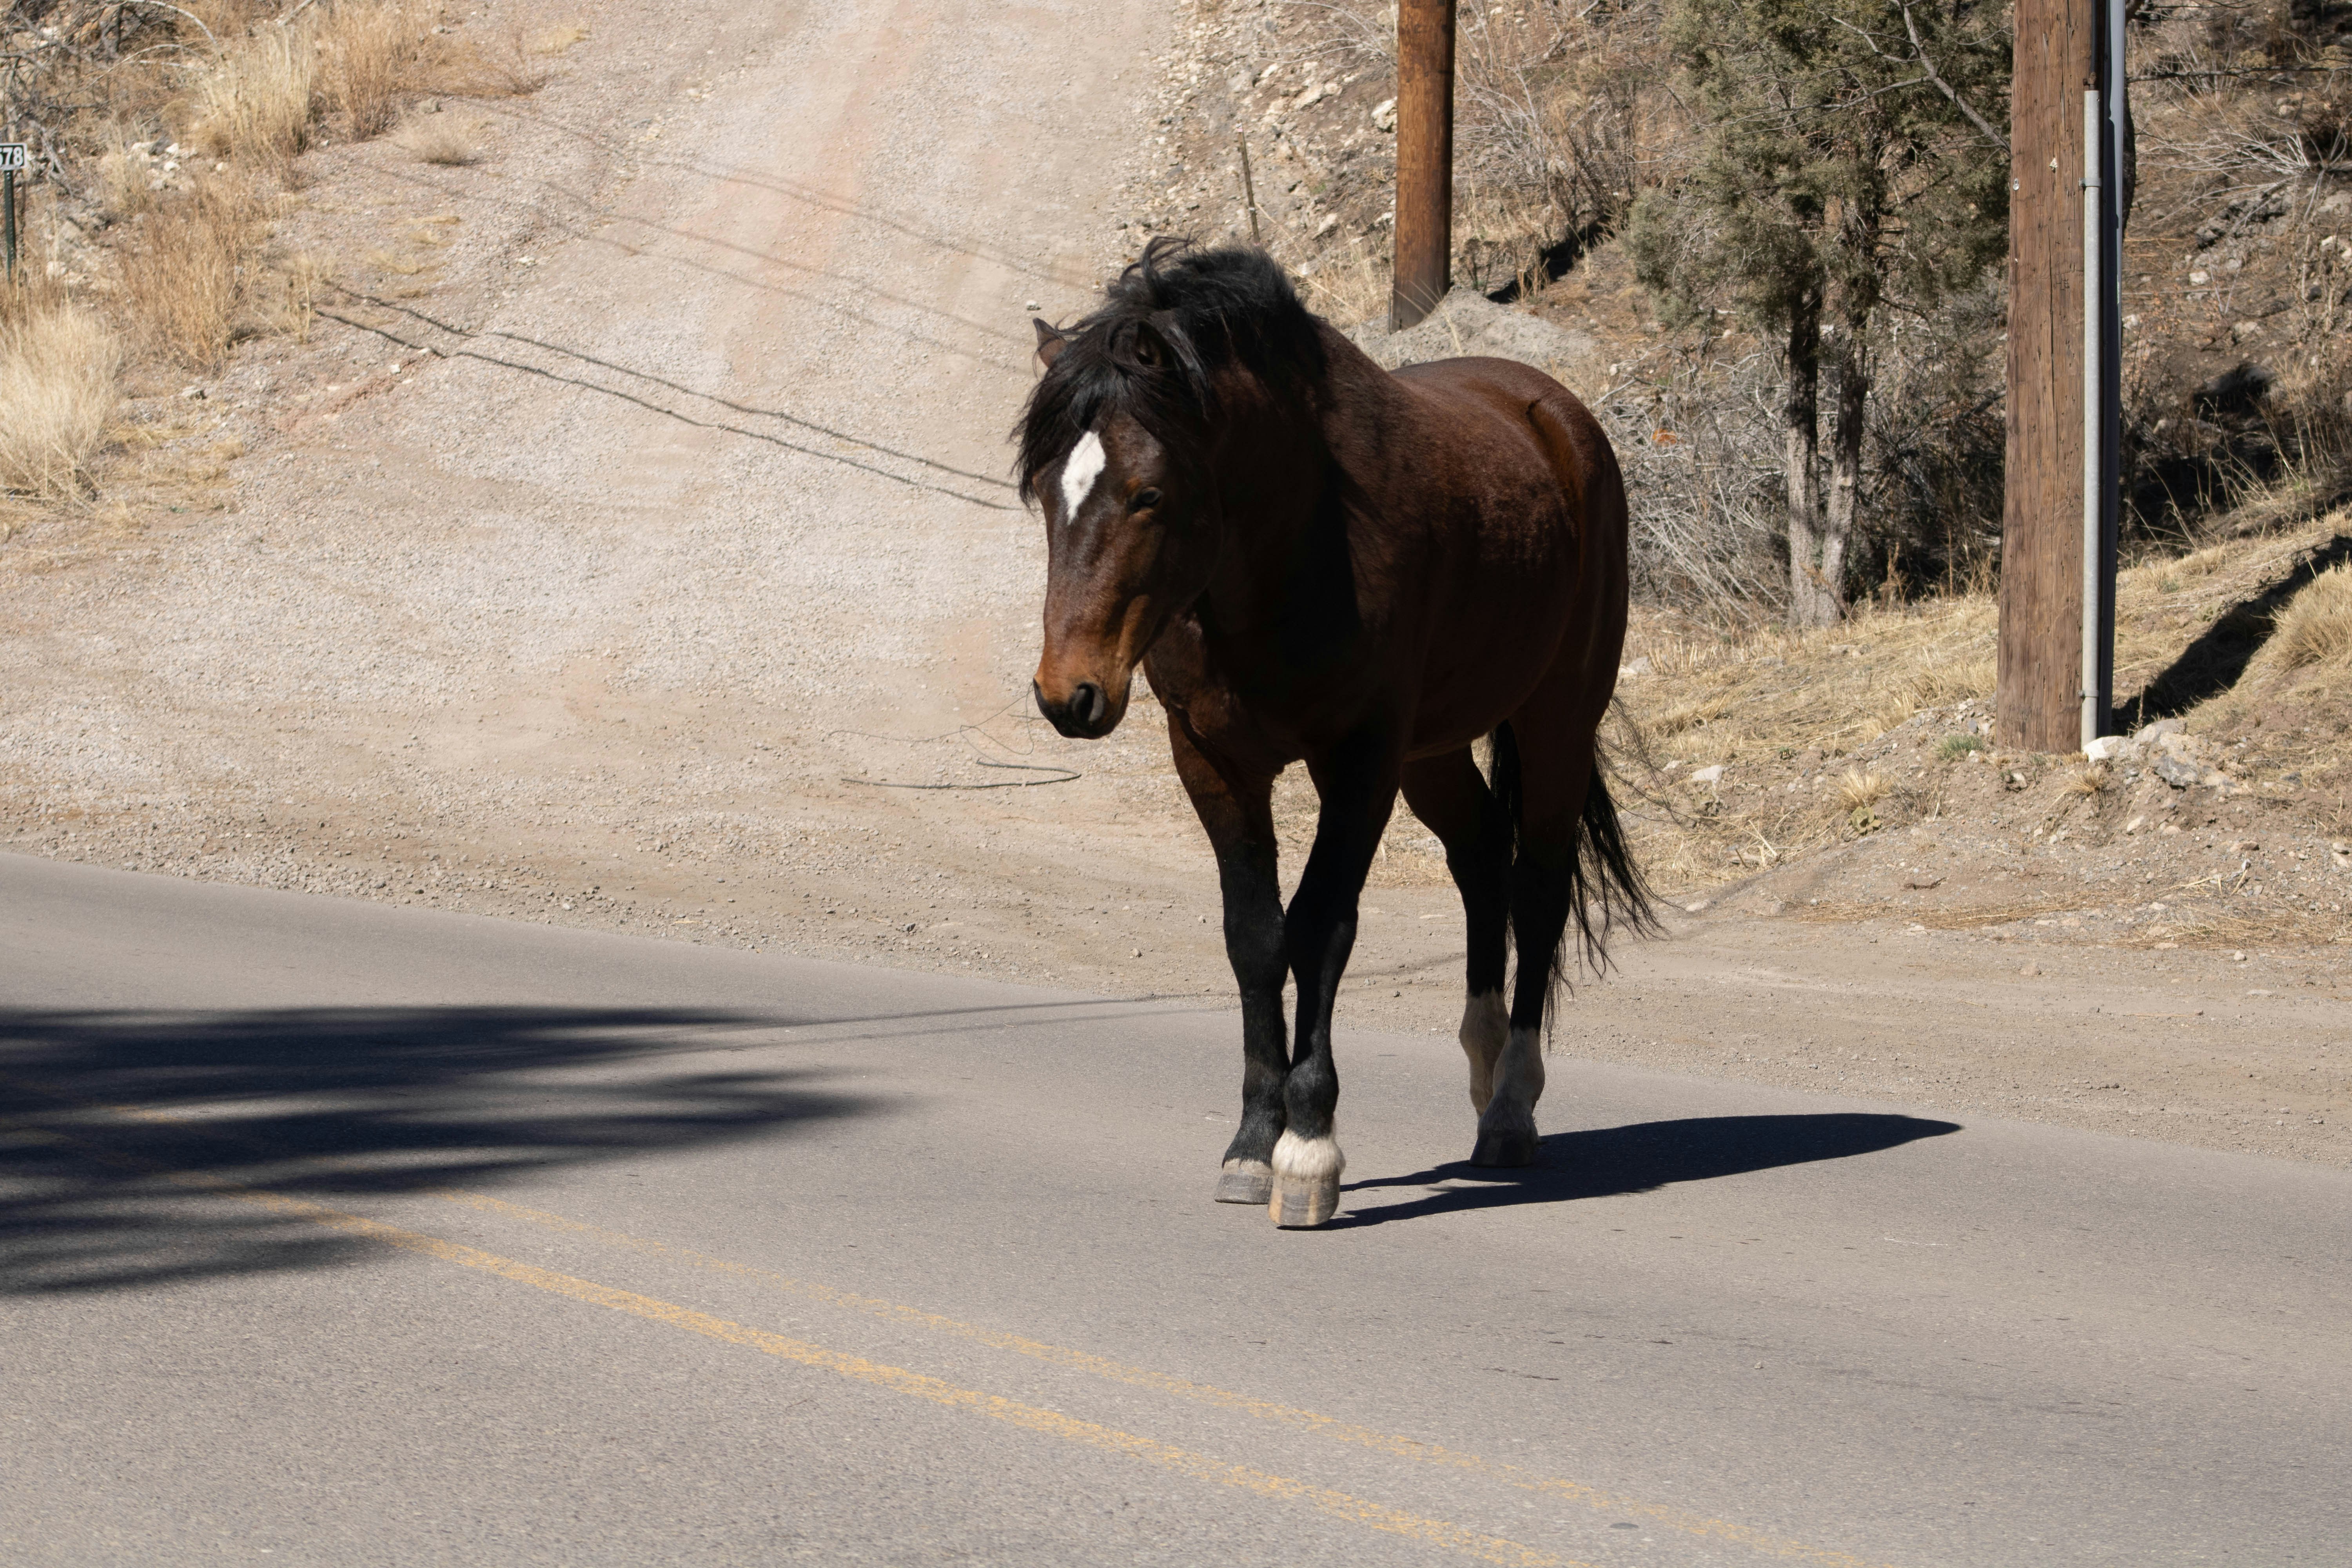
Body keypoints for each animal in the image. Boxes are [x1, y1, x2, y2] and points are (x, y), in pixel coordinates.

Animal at [1016, 240, 1655, 1229]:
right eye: (1046, 490)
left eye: (1147, 492)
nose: (1067, 693)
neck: (1296, 548)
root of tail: (1555, 412)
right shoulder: (1214, 758)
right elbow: (1256, 936)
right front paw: (1251, 1142)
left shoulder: (1357, 760)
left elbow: (1321, 926)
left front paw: (1309, 1146)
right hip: (1434, 752)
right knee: (1482, 859)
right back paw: (1482, 1067)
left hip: (1555, 719)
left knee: (1540, 887)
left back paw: (1512, 1104)